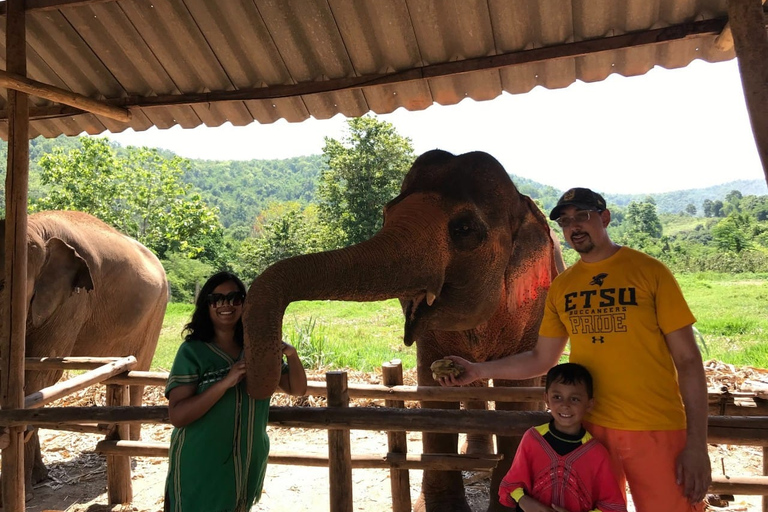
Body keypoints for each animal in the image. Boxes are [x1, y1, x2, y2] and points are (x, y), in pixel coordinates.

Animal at [0, 209, 168, 500]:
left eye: (2, 285)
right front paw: (38, 479)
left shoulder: (72, 302)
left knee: (139, 370)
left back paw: (130, 446)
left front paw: (26, 491)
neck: (35, 226)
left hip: (158, 309)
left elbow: (40, 375)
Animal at [243, 149, 560, 512]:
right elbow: (433, 393)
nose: (266, 375)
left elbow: (514, 394)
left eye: (464, 229)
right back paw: (477, 458)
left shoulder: (532, 309)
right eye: (385, 213)